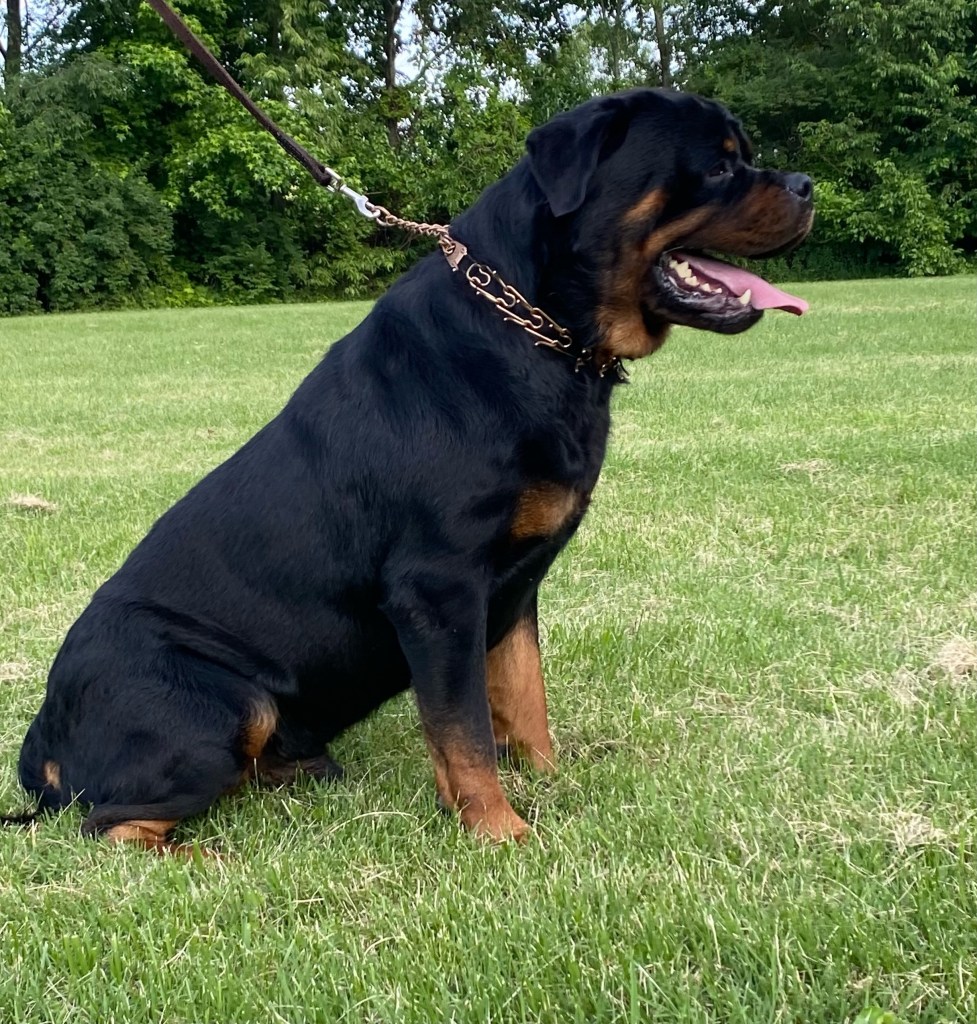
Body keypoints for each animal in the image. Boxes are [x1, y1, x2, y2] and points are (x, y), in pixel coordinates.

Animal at [3, 88, 813, 851]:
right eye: (718, 168)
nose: (806, 185)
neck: (540, 334)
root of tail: (41, 742)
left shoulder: (514, 589)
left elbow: (524, 697)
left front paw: (548, 780)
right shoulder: (438, 587)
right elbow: (464, 730)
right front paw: (500, 831)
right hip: (223, 705)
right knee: (109, 825)